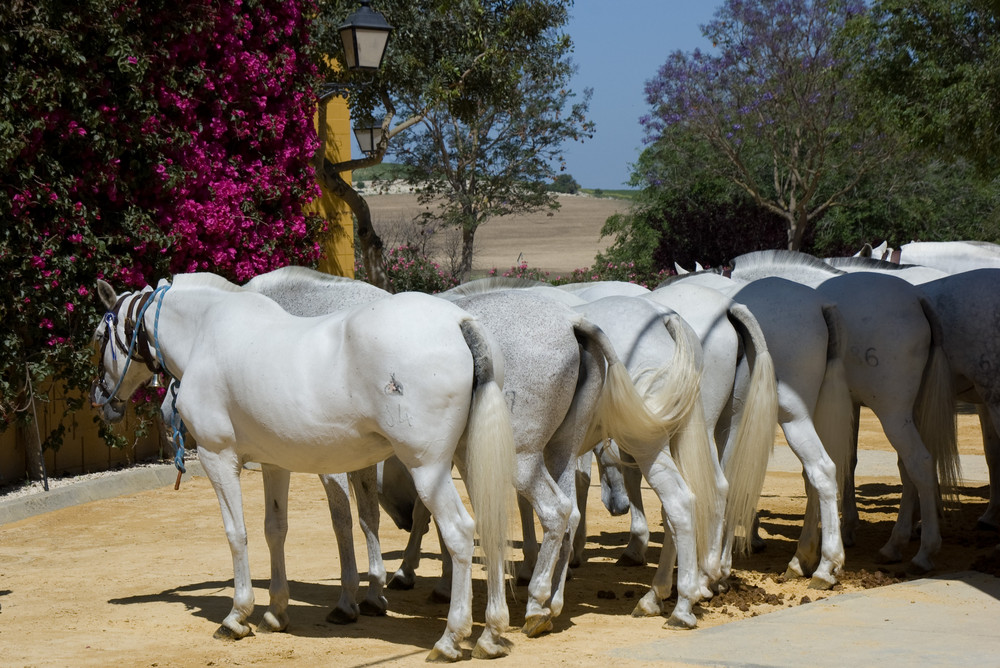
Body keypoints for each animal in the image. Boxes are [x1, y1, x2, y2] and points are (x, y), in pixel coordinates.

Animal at [90, 272, 516, 664]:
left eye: (97, 337)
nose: (100, 399)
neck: (205, 333)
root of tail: (460, 322)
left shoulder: (218, 458)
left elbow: (237, 534)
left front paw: (237, 615)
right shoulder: (274, 465)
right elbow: (274, 530)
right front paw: (275, 612)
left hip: (428, 468)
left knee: (459, 532)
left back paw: (450, 639)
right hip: (466, 460)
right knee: (490, 523)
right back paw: (491, 634)